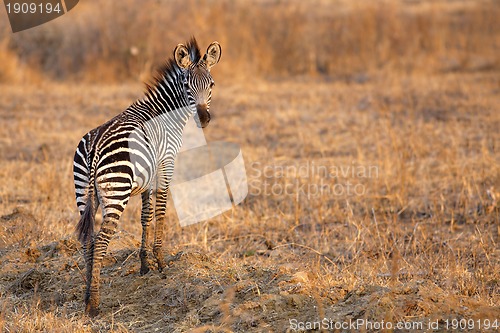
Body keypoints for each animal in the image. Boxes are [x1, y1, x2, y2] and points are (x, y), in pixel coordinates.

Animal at [73, 37, 222, 316]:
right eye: (187, 85)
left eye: (211, 85)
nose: (204, 119)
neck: (165, 114)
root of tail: (96, 147)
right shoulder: (166, 164)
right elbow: (161, 211)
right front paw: (161, 262)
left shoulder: (145, 178)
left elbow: (145, 216)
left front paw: (144, 265)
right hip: (117, 193)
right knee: (101, 240)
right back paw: (94, 304)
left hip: (83, 193)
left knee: (88, 241)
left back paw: (87, 294)